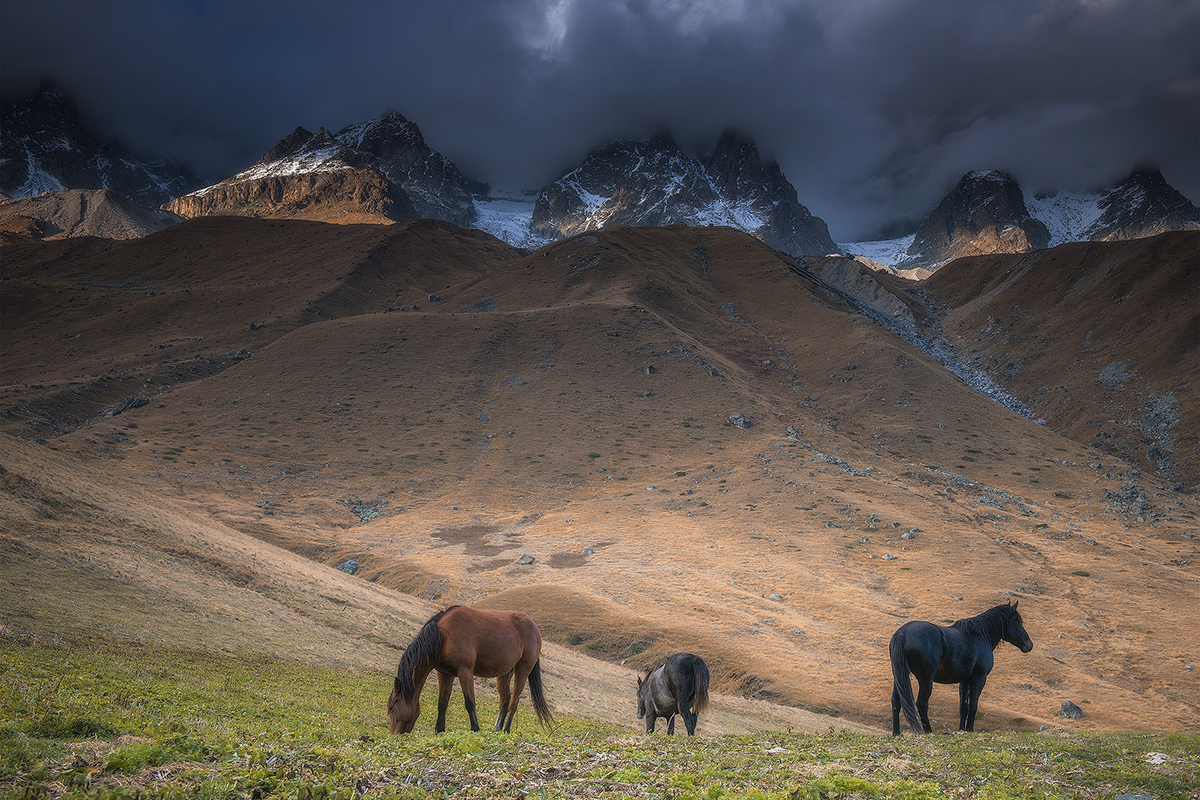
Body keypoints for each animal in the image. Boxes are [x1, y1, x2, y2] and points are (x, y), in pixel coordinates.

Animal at [384, 606, 552, 734]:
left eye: (391, 707)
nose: (394, 734)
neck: (444, 636)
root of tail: (534, 626)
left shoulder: (465, 672)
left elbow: (470, 702)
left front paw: (475, 729)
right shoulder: (445, 674)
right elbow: (442, 703)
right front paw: (439, 730)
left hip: (523, 669)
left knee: (514, 701)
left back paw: (506, 730)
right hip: (504, 674)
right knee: (505, 701)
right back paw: (498, 729)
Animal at [892, 599, 1032, 738]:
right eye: (1017, 621)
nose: (1029, 645)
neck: (980, 635)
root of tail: (902, 633)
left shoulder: (964, 681)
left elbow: (963, 707)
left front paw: (962, 730)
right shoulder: (978, 678)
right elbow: (973, 706)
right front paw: (969, 729)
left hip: (900, 677)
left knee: (896, 702)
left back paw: (896, 733)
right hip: (926, 680)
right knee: (921, 704)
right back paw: (928, 731)